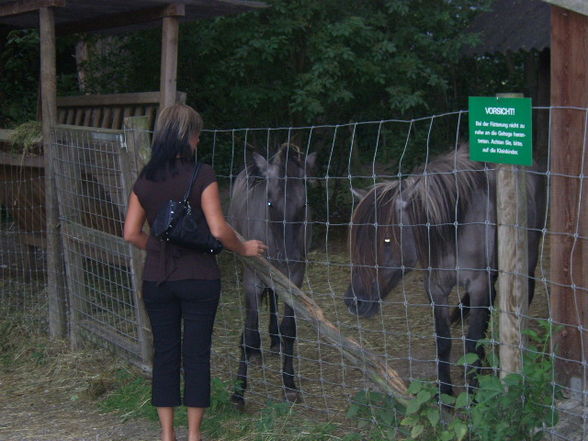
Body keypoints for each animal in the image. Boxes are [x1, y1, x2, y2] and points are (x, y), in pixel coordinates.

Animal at [229, 144, 316, 406]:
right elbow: (249, 330)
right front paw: (238, 392)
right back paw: (256, 352)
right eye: (269, 203)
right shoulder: (252, 278)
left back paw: (274, 341)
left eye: (304, 206)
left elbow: (289, 330)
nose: (286, 256)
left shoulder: (294, 277)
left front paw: (289, 384)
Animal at [344, 145, 548, 396]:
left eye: (387, 239)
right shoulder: (436, 288)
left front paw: (473, 393)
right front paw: (445, 392)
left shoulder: (479, 285)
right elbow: (443, 341)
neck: (454, 226)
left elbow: (472, 340)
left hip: (527, 258)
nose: (354, 301)